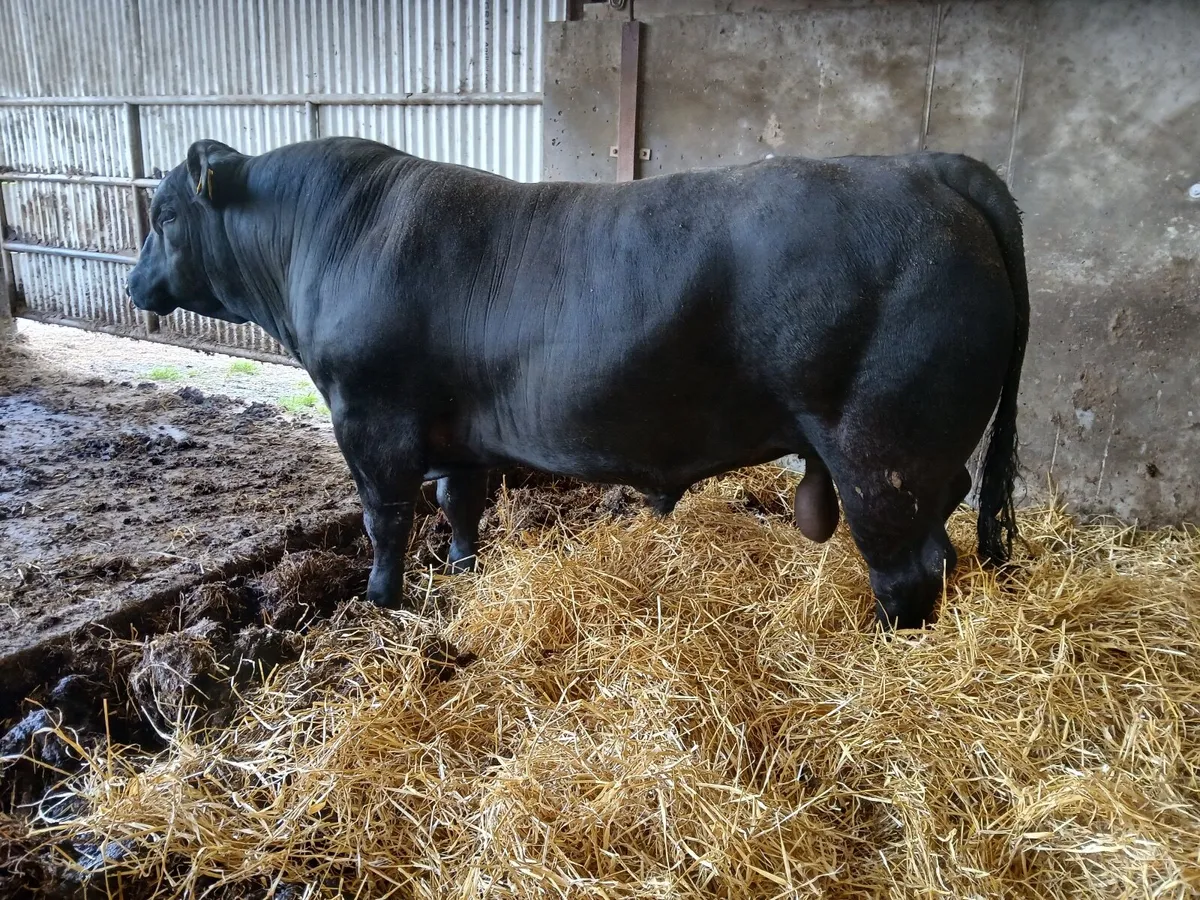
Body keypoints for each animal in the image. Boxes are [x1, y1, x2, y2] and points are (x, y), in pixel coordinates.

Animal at [126, 137, 1027, 629]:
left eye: (165, 216)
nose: (134, 285)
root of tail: (925, 167)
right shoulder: (455, 432)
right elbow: (458, 502)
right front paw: (462, 572)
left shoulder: (369, 417)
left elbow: (385, 518)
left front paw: (382, 600)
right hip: (925, 462)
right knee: (945, 543)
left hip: (882, 452)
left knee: (906, 569)